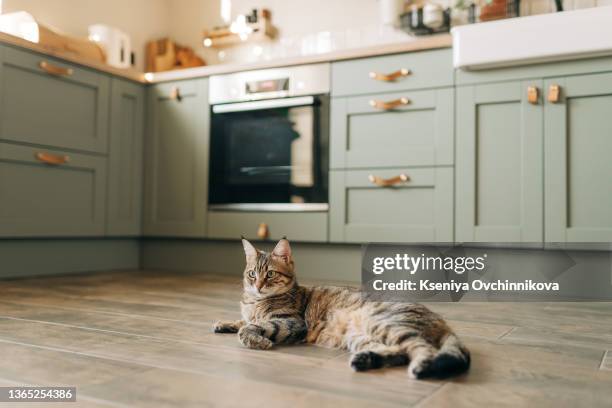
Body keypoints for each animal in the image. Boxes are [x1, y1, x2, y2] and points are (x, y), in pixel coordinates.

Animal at [210, 237, 468, 378]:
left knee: (421, 348)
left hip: (385, 323)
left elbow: (251, 327)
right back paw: (365, 360)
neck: (254, 302)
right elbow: (243, 321)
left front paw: (258, 340)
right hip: (362, 336)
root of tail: (440, 320)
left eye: (270, 274)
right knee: (399, 352)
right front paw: (224, 323)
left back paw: (421, 367)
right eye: (252, 274)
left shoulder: (292, 322)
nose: (258, 285)